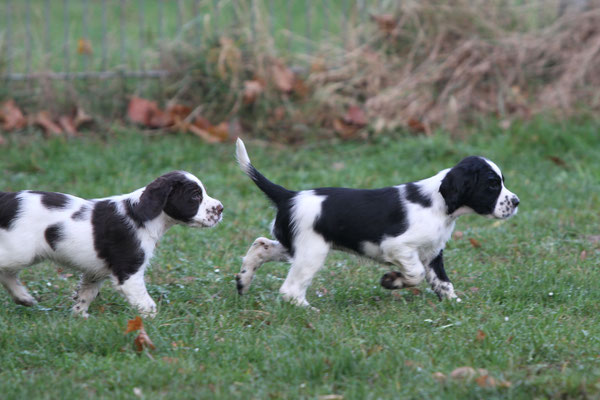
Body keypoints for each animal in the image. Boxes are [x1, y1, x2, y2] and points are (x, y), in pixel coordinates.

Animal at [0, 170, 223, 318]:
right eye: (195, 196)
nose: (221, 209)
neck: (141, 213)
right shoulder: (129, 272)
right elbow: (146, 303)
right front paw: (154, 322)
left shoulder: (94, 272)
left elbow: (85, 294)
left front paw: (79, 316)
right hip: (21, 252)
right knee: (6, 271)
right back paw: (21, 296)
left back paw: (23, 298)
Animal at [237, 139, 516, 308]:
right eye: (492, 185)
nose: (516, 202)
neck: (438, 204)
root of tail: (290, 195)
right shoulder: (398, 246)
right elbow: (415, 274)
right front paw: (392, 280)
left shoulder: (432, 253)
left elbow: (443, 282)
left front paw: (454, 303)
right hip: (311, 251)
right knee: (290, 289)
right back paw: (307, 310)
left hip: (293, 245)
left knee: (260, 246)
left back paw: (242, 281)